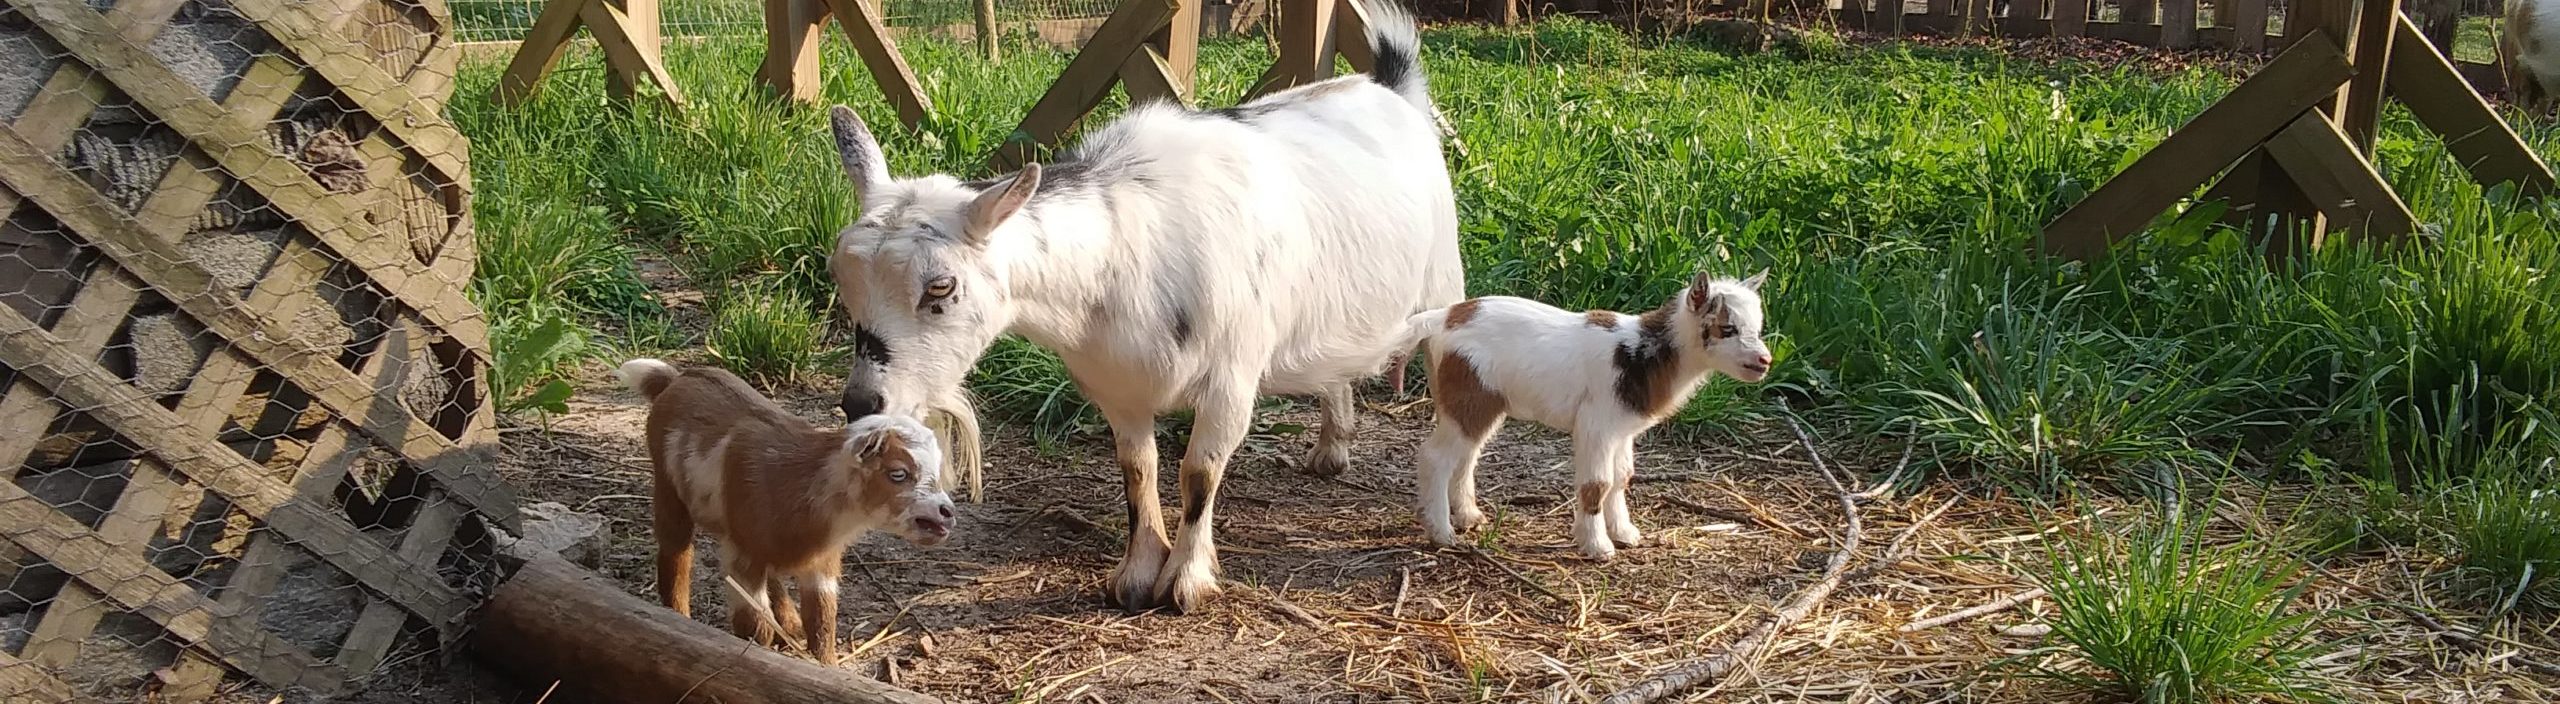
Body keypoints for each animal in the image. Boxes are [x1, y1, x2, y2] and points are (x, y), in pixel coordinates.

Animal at [824, 4, 1464, 611]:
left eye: (940, 287)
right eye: (842, 277)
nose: (861, 403)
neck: (1120, 254)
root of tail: (1390, 87)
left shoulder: (1231, 379)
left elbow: (1199, 472)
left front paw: (1185, 580)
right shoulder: (1117, 386)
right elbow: (1138, 469)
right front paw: (1135, 575)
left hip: (1445, 287)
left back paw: (1457, 502)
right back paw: (1332, 449)